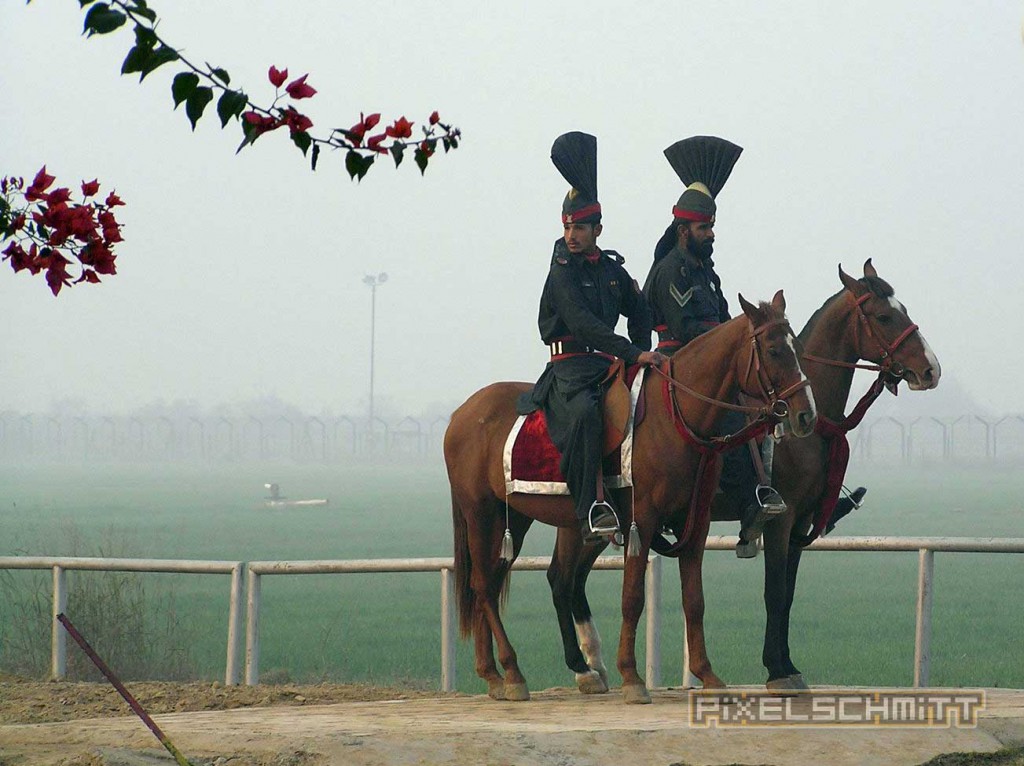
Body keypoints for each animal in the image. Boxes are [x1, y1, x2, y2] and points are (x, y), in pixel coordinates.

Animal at [446, 290, 815, 704]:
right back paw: (511, 672)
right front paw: (632, 677)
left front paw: (707, 674)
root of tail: (459, 415)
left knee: (498, 583)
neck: (676, 417)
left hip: (517, 519)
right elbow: (632, 597)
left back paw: (501, 673)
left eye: (797, 348)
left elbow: (695, 600)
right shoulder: (644, 520)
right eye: (773, 350)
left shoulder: (696, 524)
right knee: (484, 585)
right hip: (482, 514)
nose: (805, 415)